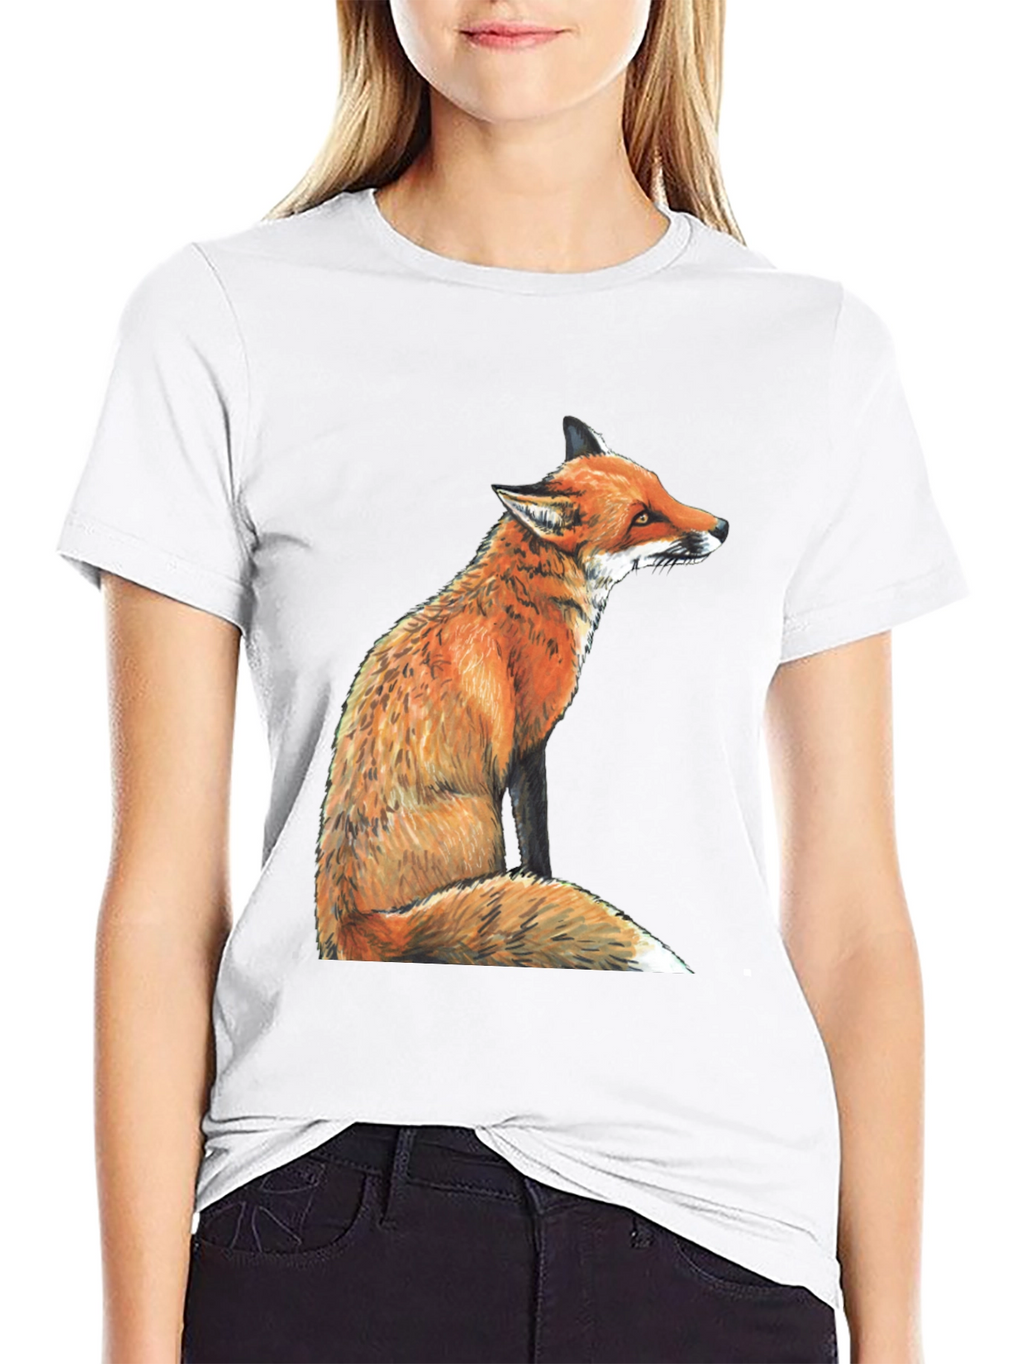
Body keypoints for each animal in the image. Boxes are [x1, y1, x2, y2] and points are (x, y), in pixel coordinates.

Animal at [315, 415, 728, 971]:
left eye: (663, 490)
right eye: (641, 518)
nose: (722, 527)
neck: (530, 593)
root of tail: (348, 925)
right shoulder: (529, 743)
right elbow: (538, 845)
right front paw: (546, 883)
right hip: (482, 821)